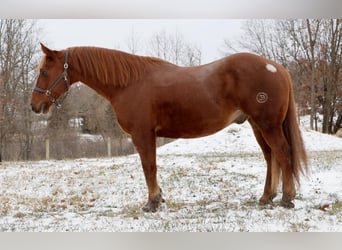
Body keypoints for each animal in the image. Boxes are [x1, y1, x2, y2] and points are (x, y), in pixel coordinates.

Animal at [31, 44, 308, 212]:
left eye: (44, 71)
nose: (35, 105)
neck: (129, 83)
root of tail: (277, 68)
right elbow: (150, 167)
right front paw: (158, 198)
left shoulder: (143, 135)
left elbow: (149, 167)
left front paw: (152, 202)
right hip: (256, 125)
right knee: (271, 156)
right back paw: (266, 197)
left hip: (267, 124)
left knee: (282, 153)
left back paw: (287, 198)